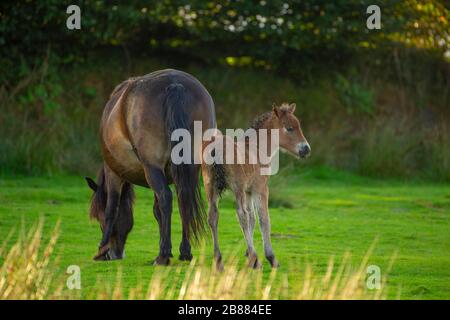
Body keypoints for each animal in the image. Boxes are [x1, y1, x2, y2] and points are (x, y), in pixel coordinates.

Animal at [87, 69, 217, 264]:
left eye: (98, 217)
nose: (115, 253)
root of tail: (174, 84)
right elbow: (158, 212)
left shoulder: (114, 173)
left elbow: (111, 208)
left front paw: (101, 249)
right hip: (191, 169)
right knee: (182, 199)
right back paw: (184, 252)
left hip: (152, 169)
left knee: (166, 198)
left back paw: (163, 255)